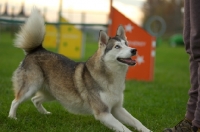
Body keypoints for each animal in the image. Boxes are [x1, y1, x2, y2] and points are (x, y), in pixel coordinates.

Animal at [8, 8, 152, 131]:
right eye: (117, 46)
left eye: (126, 44)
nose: (134, 50)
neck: (113, 77)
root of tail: (37, 49)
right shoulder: (103, 113)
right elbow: (124, 128)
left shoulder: (117, 108)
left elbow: (136, 121)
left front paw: (148, 130)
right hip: (30, 87)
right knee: (15, 101)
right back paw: (12, 118)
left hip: (53, 93)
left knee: (35, 100)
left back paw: (45, 113)